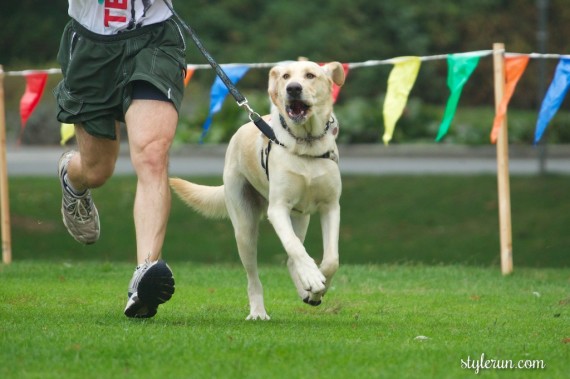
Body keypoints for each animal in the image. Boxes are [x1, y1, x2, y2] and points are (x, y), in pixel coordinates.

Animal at [169, 61, 344, 320]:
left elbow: (331, 259)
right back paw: (259, 311)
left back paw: (305, 289)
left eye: (310, 75)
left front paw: (316, 287)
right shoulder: (278, 209)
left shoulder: (330, 207)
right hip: (244, 228)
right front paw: (313, 278)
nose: (293, 88)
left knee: (292, 257)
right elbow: (294, 247)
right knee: (255, 275)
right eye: (285, 76)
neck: (306, 144)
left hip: (300, 218)